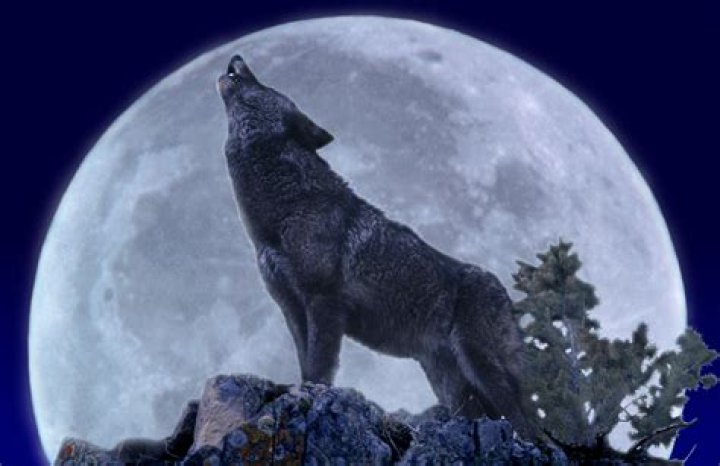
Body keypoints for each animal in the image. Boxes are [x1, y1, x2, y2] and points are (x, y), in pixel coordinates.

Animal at [218, 55, 536, 438]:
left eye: (263, 84)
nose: (236, 57)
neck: (283, 211)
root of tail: (505, 292)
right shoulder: (291, 307)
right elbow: (303, 358)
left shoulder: (324, 302)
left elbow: (319, 364)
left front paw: (311, 394)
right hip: (451, 384)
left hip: (482, 367)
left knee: (527, 423)